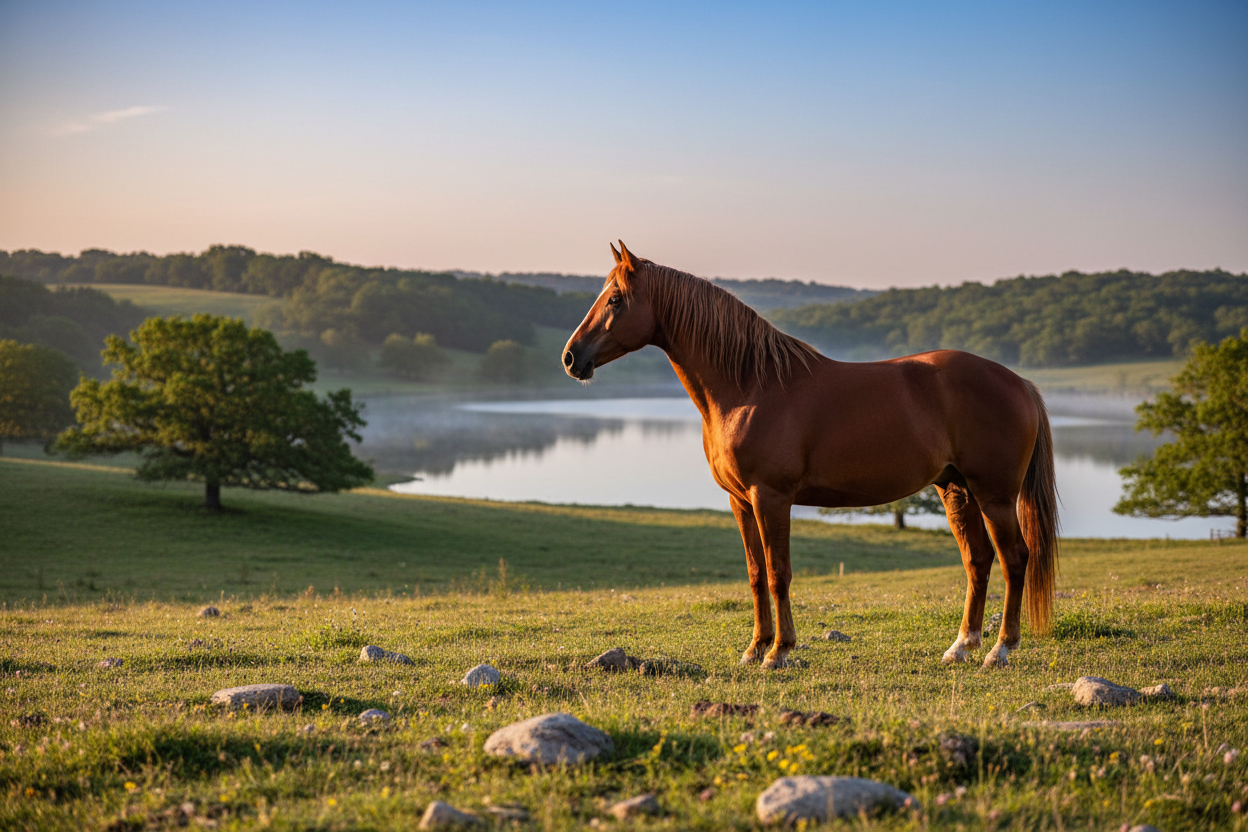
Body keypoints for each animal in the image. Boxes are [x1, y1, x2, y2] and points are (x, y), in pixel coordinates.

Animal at [562, 241, 1059, 670]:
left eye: (615, 300)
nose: (570, 358)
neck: (751, 385)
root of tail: (1020, 383)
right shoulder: (740, 500)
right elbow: (755, 573)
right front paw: (754, 648)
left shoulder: (771, 497)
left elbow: (779, 572)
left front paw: (778, 652)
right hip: (955, 488)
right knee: (978, 559)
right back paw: (961, 646)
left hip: (995, 495)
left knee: (1015, 558)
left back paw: (1000, 650)